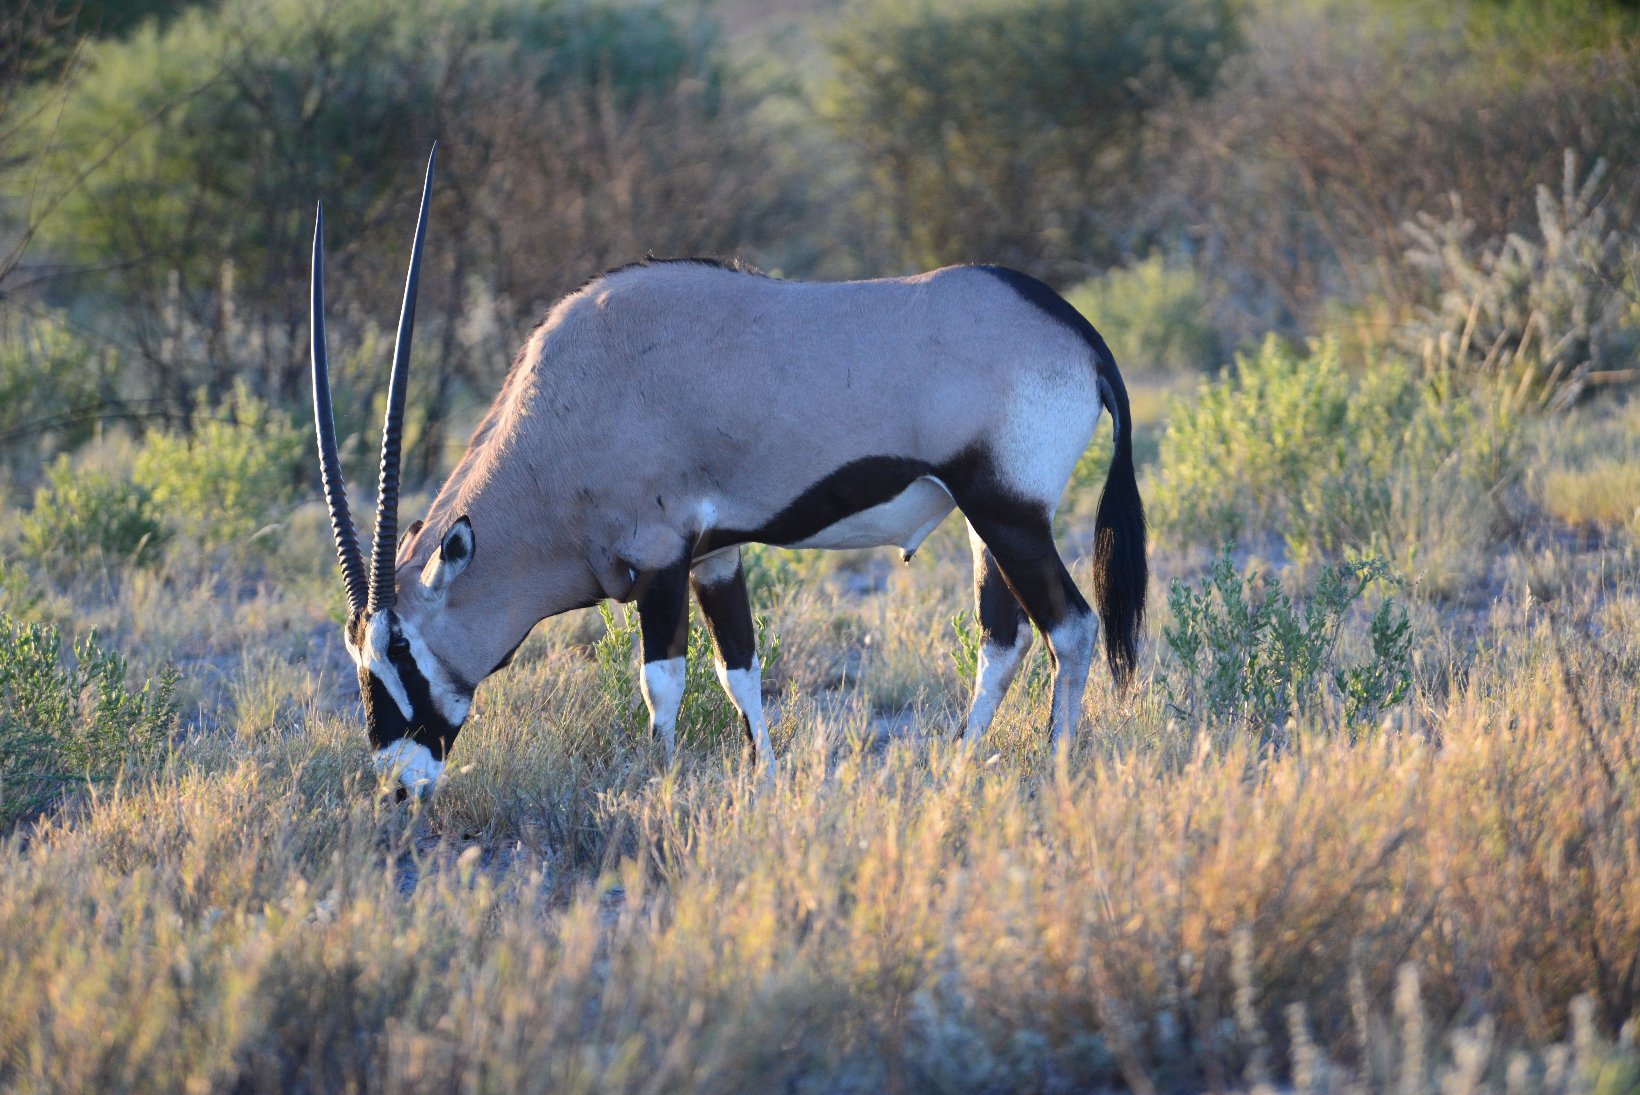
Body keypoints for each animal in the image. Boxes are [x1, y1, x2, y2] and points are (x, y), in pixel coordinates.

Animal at [314, 149, 1146, 797]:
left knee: (1071, 627)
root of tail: (1080, 335)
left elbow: (662, 679)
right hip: (984, 521)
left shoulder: (660, 555)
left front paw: (661, 784)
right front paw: (764, 782)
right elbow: (736, 668)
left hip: (1010, 512)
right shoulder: (715, 556)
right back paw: (958, 768)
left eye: (400, 649)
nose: (397, 782)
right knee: (1002, 640)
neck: (565, 409)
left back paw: (1056, 768)